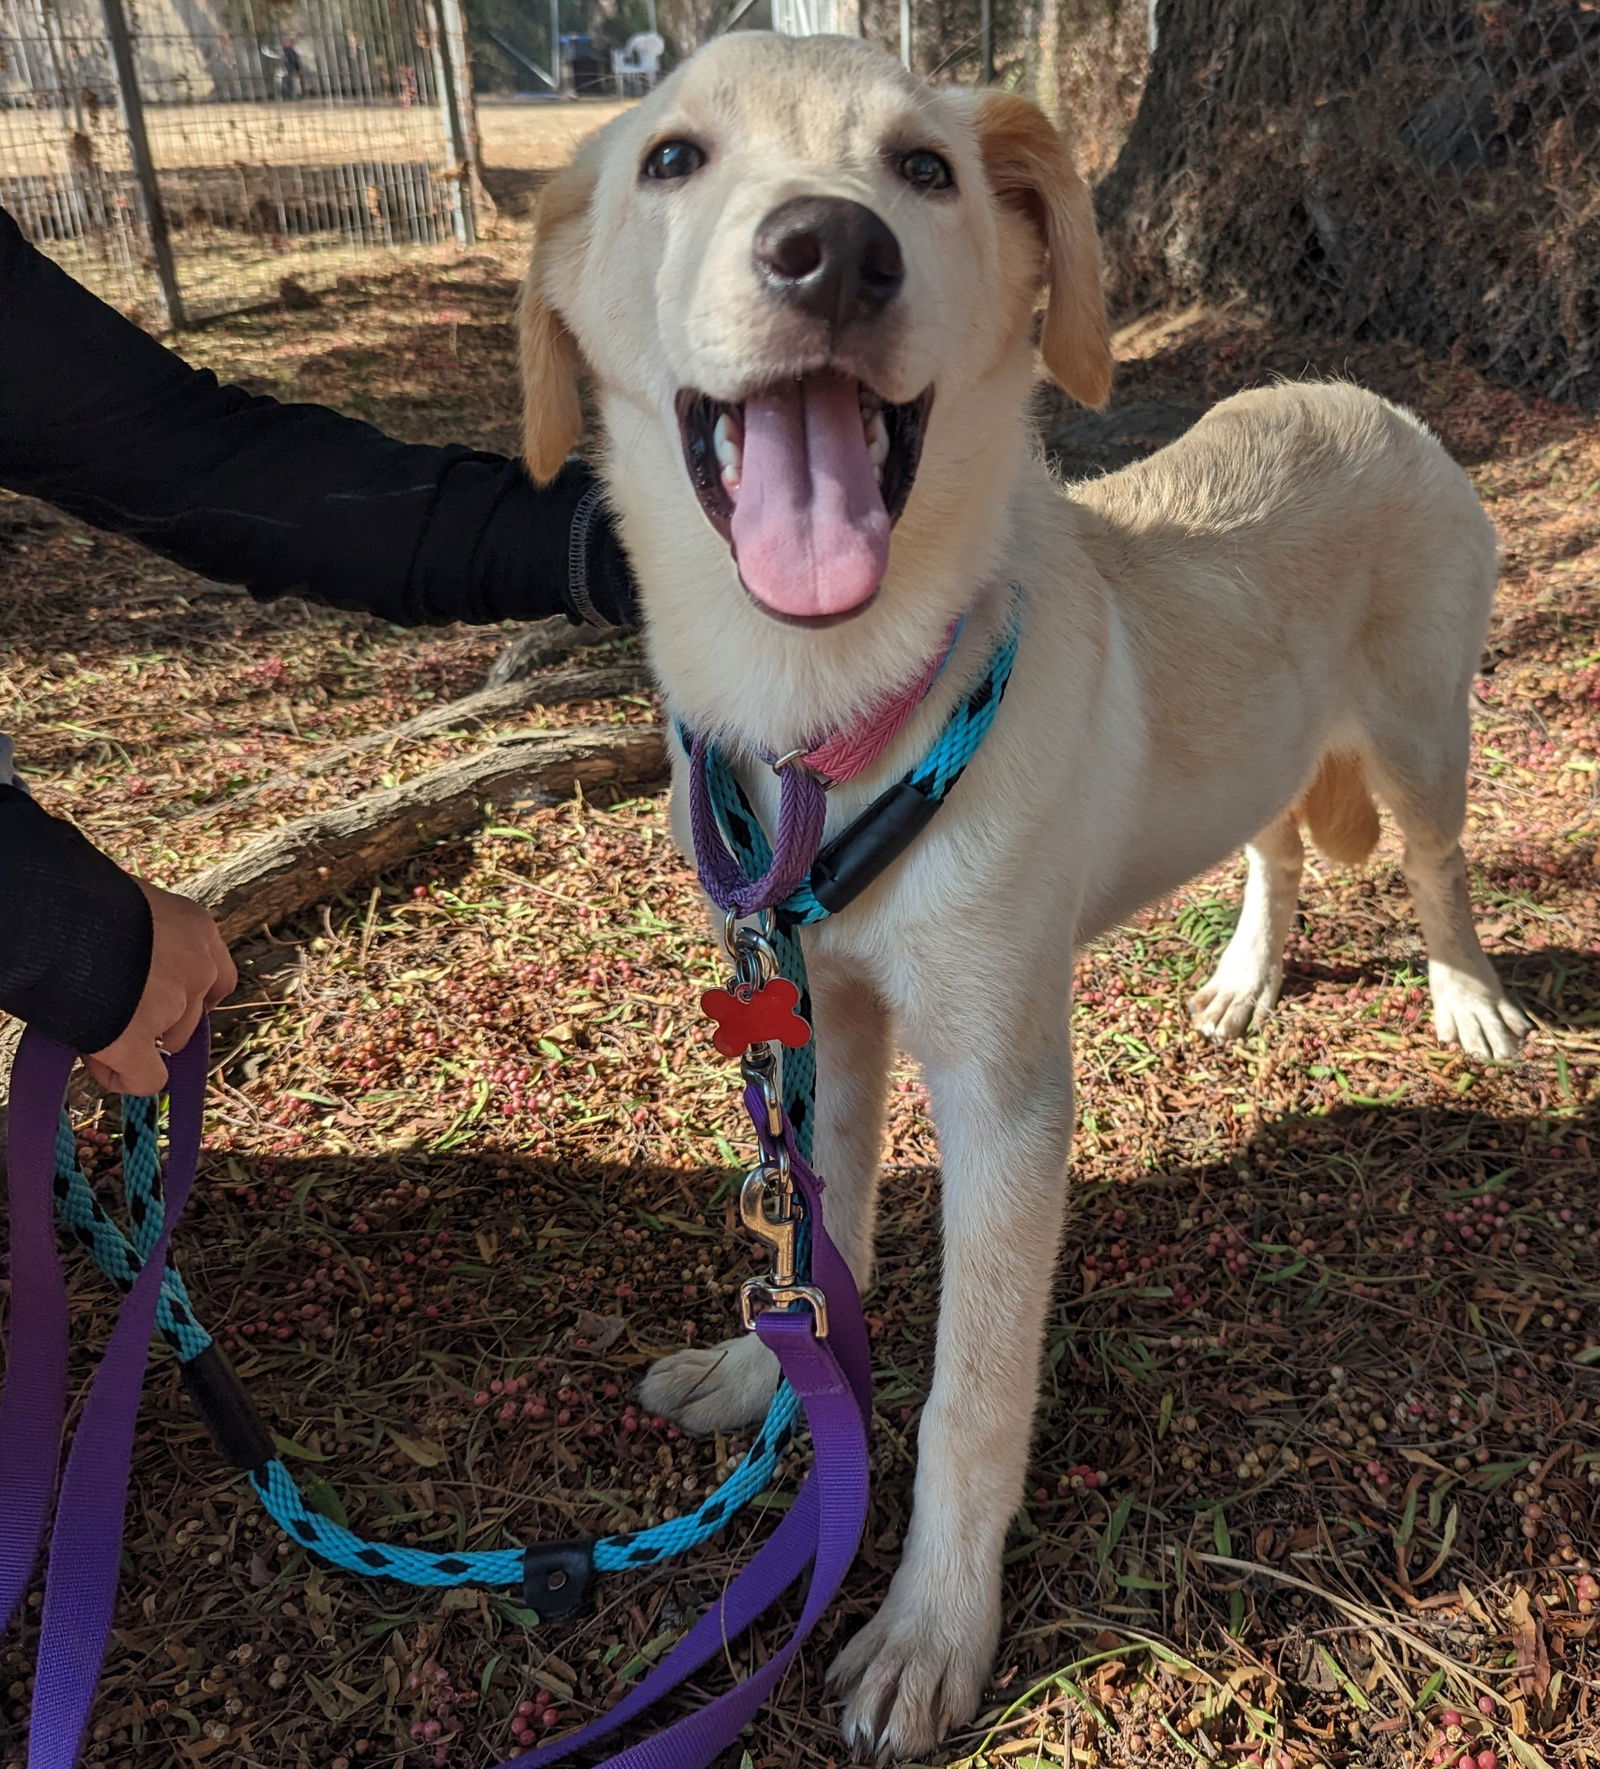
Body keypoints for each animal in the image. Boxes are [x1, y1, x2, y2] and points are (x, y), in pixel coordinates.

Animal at [513, 34, 1522, 1761]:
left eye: (925, 169)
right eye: (671, 159)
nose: (830, 251)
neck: (830, 719)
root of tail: (1366, 393)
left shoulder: (1006, 1096)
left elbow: (968, 1400)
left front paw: (931, 1629)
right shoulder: (825, 1032)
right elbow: (819, 1250)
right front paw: (766, 1383)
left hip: (1418, 735)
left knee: (1440, 872)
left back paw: (1467, 1000)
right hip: (1276, 751)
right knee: (1275, 847)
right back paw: (1247, 974)